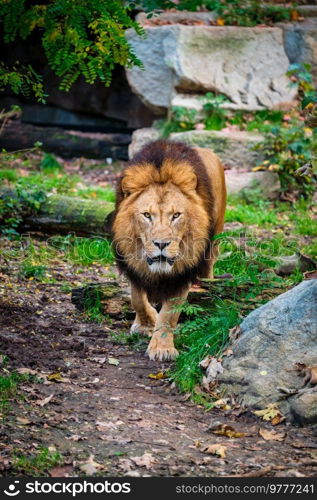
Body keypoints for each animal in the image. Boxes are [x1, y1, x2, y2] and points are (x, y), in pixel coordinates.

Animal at [111, 139, 225, 362]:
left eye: (176, 215)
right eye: (147, 215)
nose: (161, 244)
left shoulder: (181, 274)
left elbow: (169, 313)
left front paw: (162, 348)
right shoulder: (133, 265)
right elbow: (137, 298)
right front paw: (146, 324)